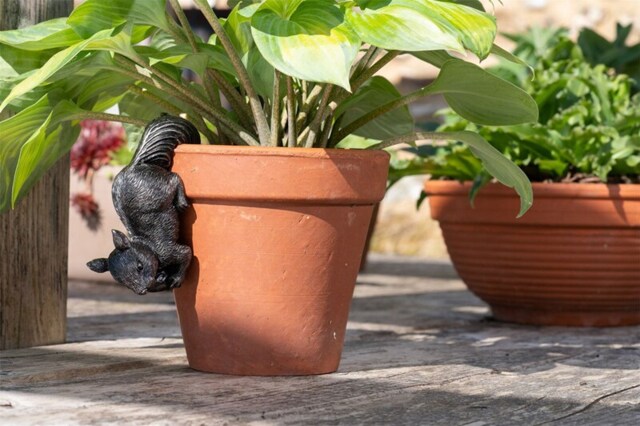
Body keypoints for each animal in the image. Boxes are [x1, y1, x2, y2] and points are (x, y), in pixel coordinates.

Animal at [87, 115, 200, 295]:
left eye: (140, 266)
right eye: (121, 281)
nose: (142, 291)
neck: (148, 245)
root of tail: (137, 164)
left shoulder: (167, 251)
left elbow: (187, 254)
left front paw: (176, 278)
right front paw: (162, 277)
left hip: (162, 188)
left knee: (174, 178)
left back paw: (182, 202)